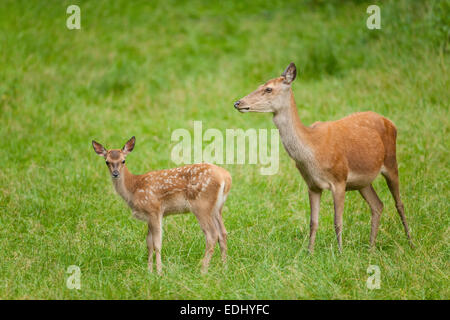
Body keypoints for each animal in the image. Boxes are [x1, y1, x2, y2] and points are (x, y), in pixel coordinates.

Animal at [91, 136, 232, 274]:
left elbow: (157, 243)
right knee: (223, 233)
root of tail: (226, 177)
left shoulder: (154, 209)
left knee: (212, 235)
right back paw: (224, 268)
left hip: (202, 205)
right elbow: (149, 243)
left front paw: (159, 272)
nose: (115, 174)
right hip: (216, 208)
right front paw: (149, 272)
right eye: (107, 161)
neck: (133, 188)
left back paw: (203, 271)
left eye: (123, 161)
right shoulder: (148, 216)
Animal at [234, 62, 414, 251]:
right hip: (363, 182)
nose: (238, 103)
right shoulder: (312, 184)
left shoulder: (339, 179)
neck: (313, 150)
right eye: (259, 85)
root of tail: (390, 122)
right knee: (377, 205)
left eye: (268, 89)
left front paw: (340, 252)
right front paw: (309, 252)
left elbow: (337, 221)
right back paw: (371, 247)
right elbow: (313, 222)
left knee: (399, 203)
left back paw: (410, 242)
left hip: (391, 161)